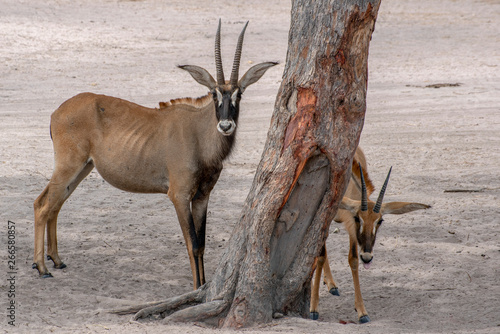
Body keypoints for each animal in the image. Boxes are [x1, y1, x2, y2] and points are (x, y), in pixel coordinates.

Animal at [32, 20, 278, 290]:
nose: (225, 125)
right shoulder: (179, 196)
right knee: (42, 205)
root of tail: (57, 112)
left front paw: (202, 286)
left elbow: (202, 245)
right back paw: (42, 268)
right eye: (214, 94)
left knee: (55, 204)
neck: (199, 134)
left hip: (82, 168)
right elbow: (192, 244)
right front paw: (196, 288)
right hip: (69, 165)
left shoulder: (202, 196)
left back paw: (56, 260)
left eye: (239, 94)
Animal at [308, 147, 430, 322]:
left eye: (380, 221)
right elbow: (320, 256)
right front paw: (313, 307)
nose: (367, 257)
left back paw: (331, 284)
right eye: (358, 217)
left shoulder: (351, 228)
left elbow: (353, 260)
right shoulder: (327, 218)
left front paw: (362, 311)